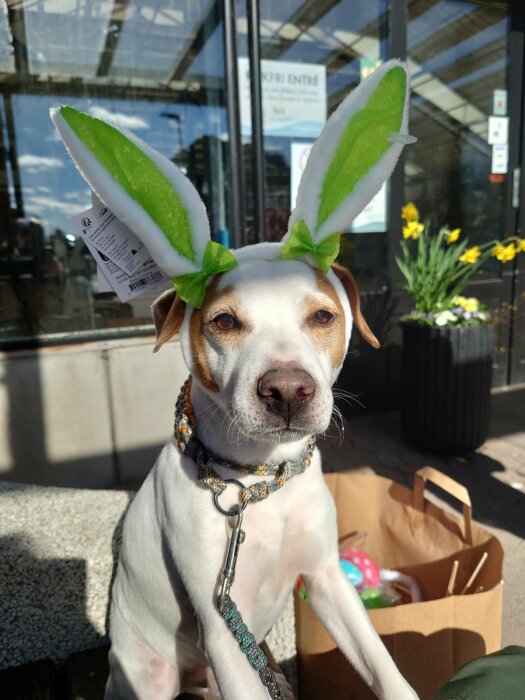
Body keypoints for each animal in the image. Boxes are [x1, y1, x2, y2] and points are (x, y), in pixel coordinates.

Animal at [104, 249, 418, 696]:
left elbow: (383, 668)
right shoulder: (221, 627)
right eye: (224, 321)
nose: (286, 391)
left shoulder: (327, 578)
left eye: (323, 316)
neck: (260, 479)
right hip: (150, 674)